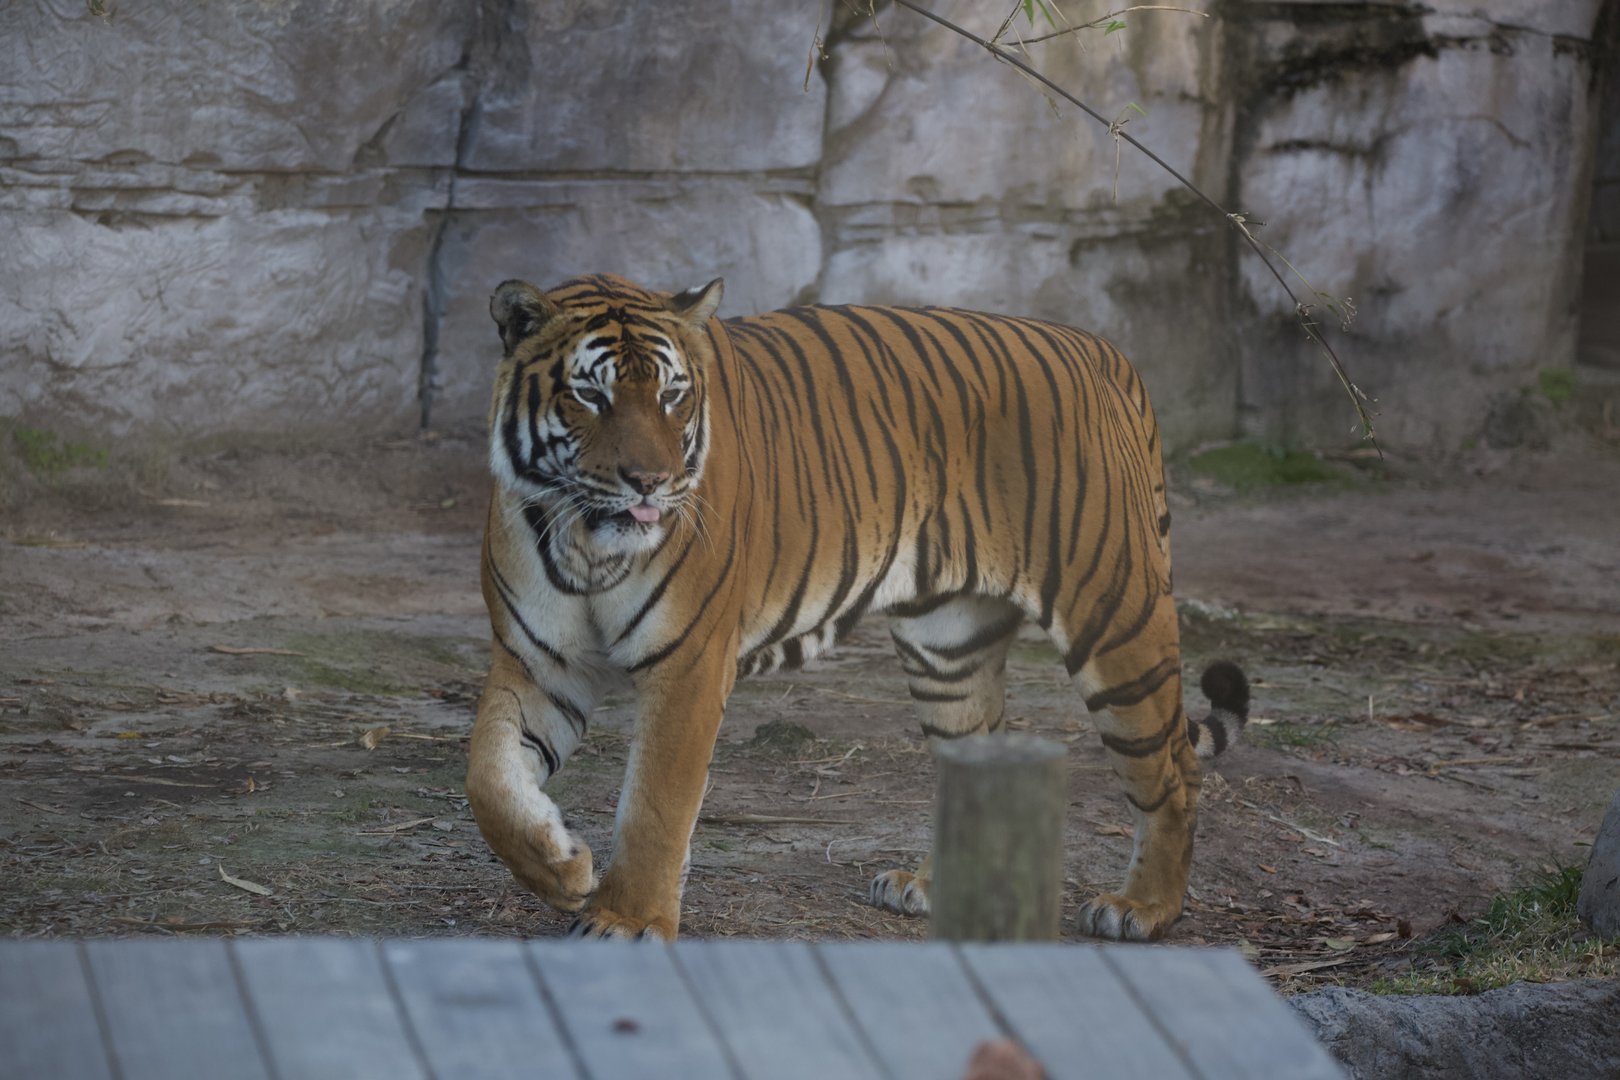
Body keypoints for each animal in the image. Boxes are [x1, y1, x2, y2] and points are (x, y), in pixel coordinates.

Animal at [464, 272, 1251, 942]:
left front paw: (625, 920)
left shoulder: (688, 667)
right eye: (590, 396)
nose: (650, 482)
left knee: (1177, 772)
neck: (583, 537)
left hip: (1115, 622)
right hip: (947, 649)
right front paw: (561, 868)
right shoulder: (538, 662)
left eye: (672, 396)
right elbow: (489, 781)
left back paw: (1143, 909)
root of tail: (1102, 350)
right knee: (982, 752)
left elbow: (655, 804)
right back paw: (934, 885)